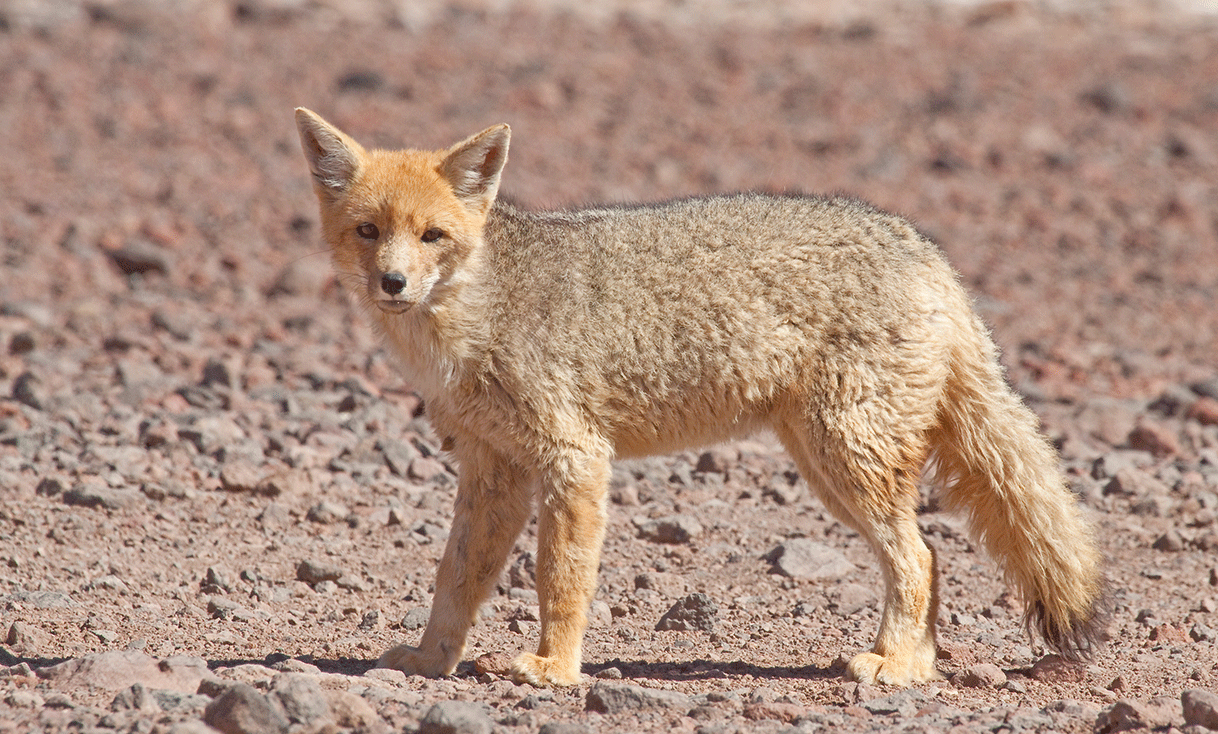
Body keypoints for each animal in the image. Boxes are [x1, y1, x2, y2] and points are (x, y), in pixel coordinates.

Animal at [292, 108, 1105, 691]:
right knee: (928, 558)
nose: (393, 282)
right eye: (368, 231)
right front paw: (431, 661)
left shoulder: (575, 459)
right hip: (826, 467)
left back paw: (895, 667)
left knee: (923, 557)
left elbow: (561, 577)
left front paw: (554, 668)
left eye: (433, 236)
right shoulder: (493, 468)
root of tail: (926, 250)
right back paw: (915, 665)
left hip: (848, 461)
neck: (474, 315)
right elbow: (455, 578)